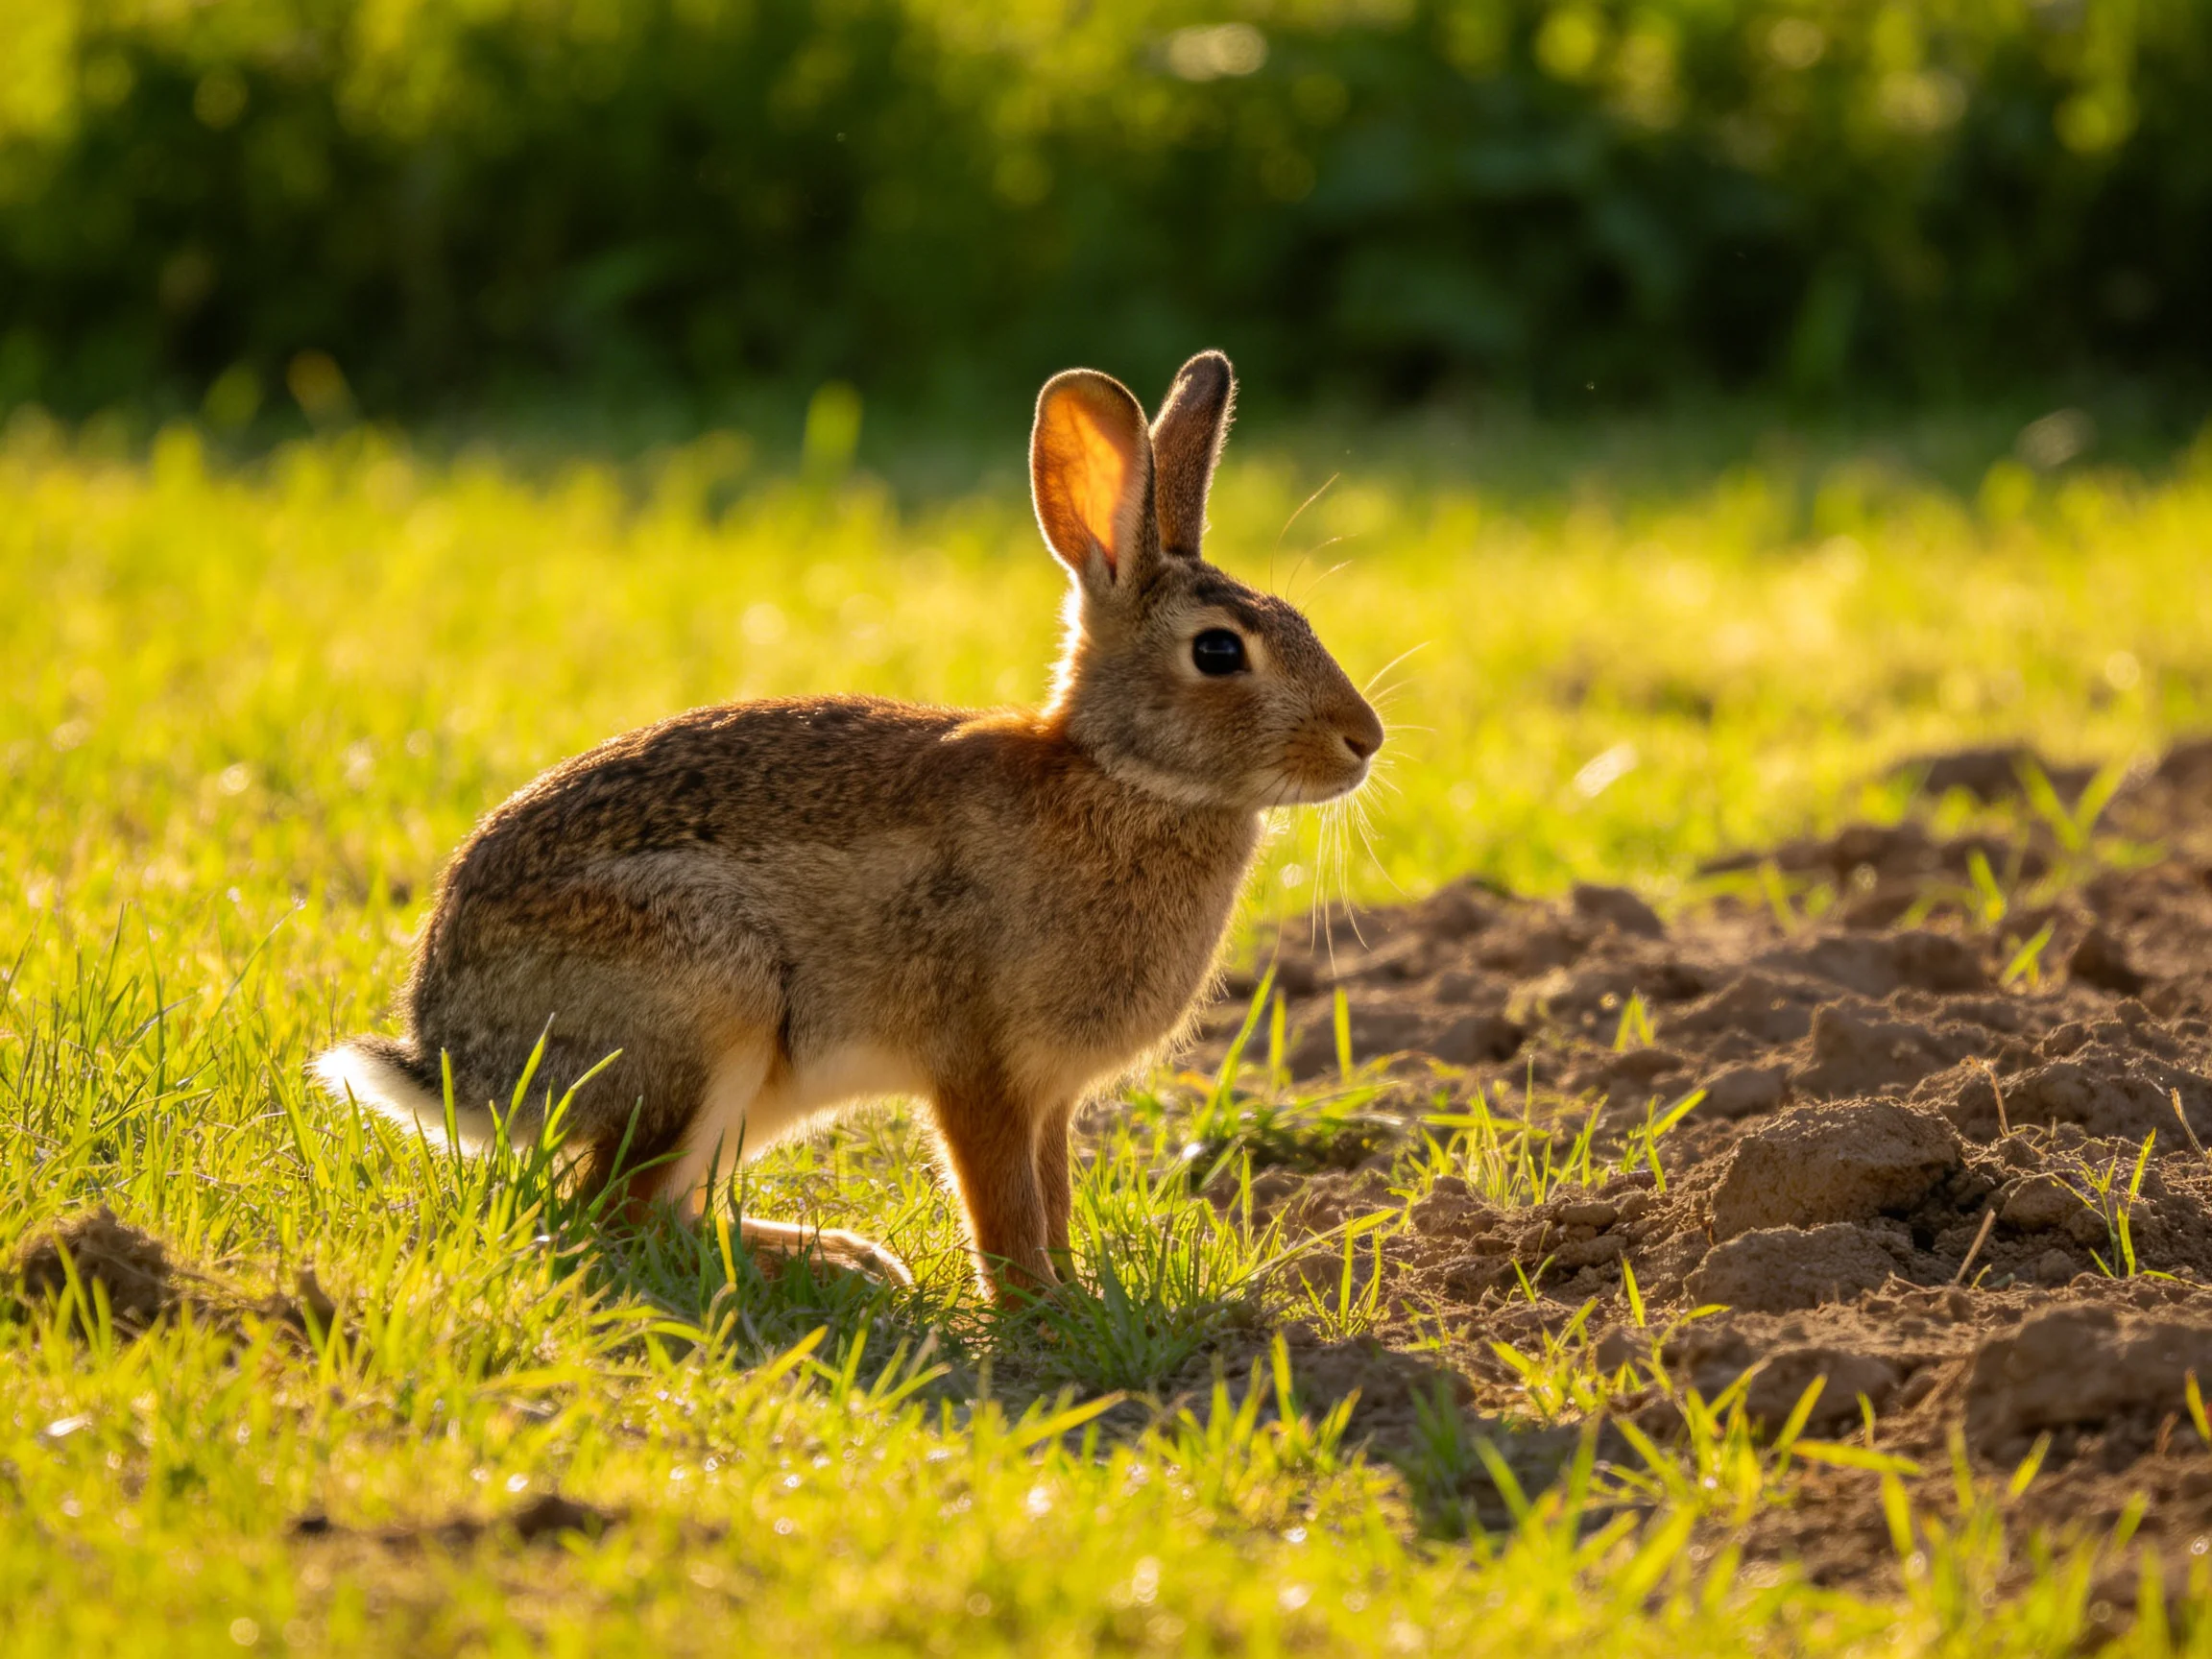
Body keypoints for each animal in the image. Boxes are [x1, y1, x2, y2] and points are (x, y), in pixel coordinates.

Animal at [313, 351, 1384, 1301]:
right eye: (1218, 652)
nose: (1363, 740)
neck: (1124, 777)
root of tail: (452, 1052)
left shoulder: (1051, 1096)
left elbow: (1053, 1197)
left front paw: (1080, 1296)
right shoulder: (979, 1069)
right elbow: (1006, 1207)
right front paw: (1038, 1314)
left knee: (653, 1208)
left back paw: (847, 1262)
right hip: (708, 1008)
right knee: (611, 1216)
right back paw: (828, 1274)